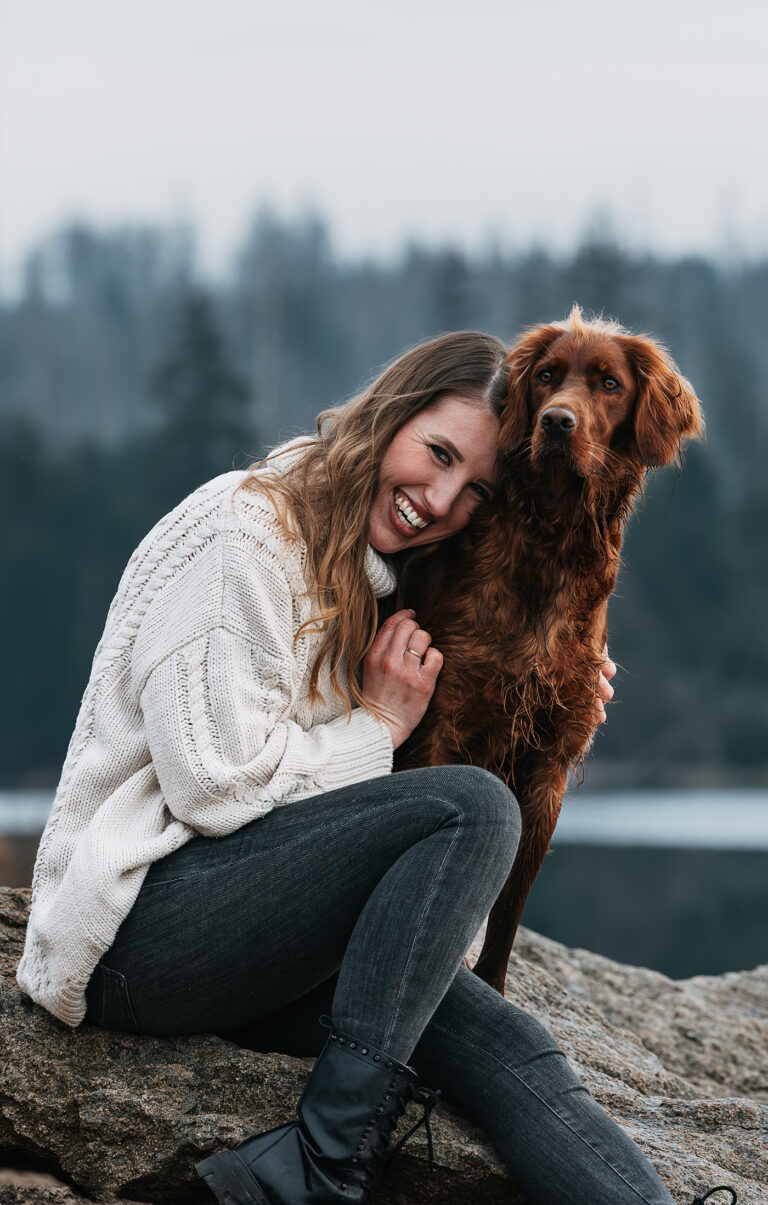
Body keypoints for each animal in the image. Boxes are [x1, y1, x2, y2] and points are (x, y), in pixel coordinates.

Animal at [395, 308, 699, 997]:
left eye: (609, 383)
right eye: (546, 377)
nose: (557, 422)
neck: (552, 547)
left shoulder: (551, 758)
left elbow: (508, 904)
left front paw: (491, 986)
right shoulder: (442, 721)